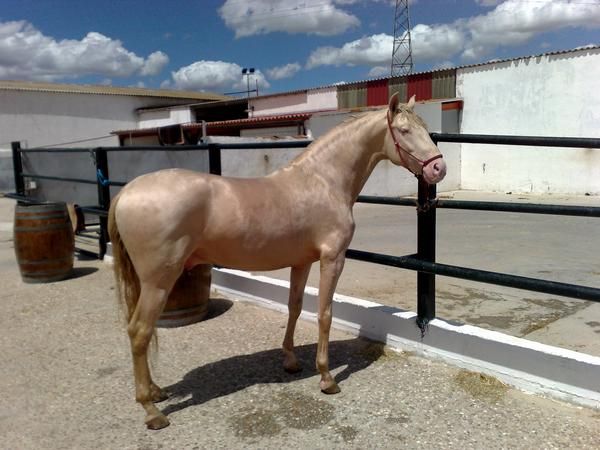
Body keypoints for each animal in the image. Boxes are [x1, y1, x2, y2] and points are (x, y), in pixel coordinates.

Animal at [108, 93, 446, 430]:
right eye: (404, 130)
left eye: (423, 127)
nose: (438, 169)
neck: (323, 181)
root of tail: (126, 193)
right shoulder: (332, 259)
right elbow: (324, 314)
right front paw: (326, 377)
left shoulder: (302, 262)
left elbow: (294, 307)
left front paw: (291, 361)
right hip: (159, 281)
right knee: (140, 331)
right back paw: (152, 411)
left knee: (141, 332)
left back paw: (156, 391)